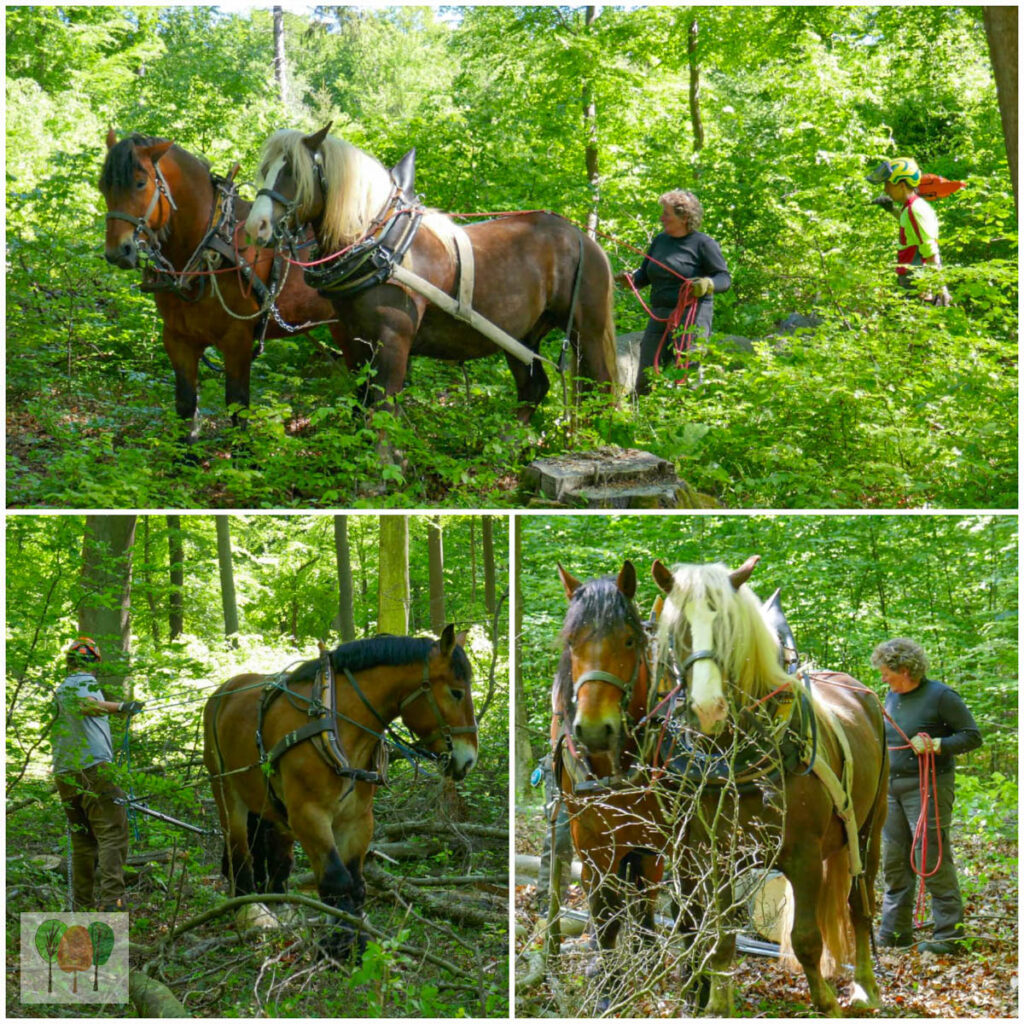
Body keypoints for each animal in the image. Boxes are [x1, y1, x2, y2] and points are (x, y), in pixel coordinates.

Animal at [100, 129, 348, 444]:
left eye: (140, 183)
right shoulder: (178, 339)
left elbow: (237, 408)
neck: (208, 244)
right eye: (103, 186)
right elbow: (186, 406)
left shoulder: (237, 341)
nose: (117, 251)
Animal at [243, 126, 618, 423]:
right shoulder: (356, 338)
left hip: (586, 330)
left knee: (601, 388)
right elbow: (363, 401)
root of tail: (584, 239)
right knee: (534, 387)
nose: (255, 225)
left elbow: (383, 405)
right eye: (266, 169)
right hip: (521, 335)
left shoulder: (393, 339)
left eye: (294, 171)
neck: (381, 245)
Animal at [552, 565, 671, 1011]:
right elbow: (604, 914)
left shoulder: (652, 840)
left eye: (629, 640)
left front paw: (648, 964)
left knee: (641, 898)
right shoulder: (590, 843)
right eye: (572, 642)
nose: (593, 729)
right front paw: (607, 987)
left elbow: (642, 904)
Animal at [655, 561, 888, 1015]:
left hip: (871, 826)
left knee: (859, 903)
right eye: (678, 630)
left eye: (728, 628)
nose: (707, 708)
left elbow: (807, 938)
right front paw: (718, 1004)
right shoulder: (713, 855)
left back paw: (865, 986)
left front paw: (826, 1002)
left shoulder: (803, 854)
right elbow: (722, 937)